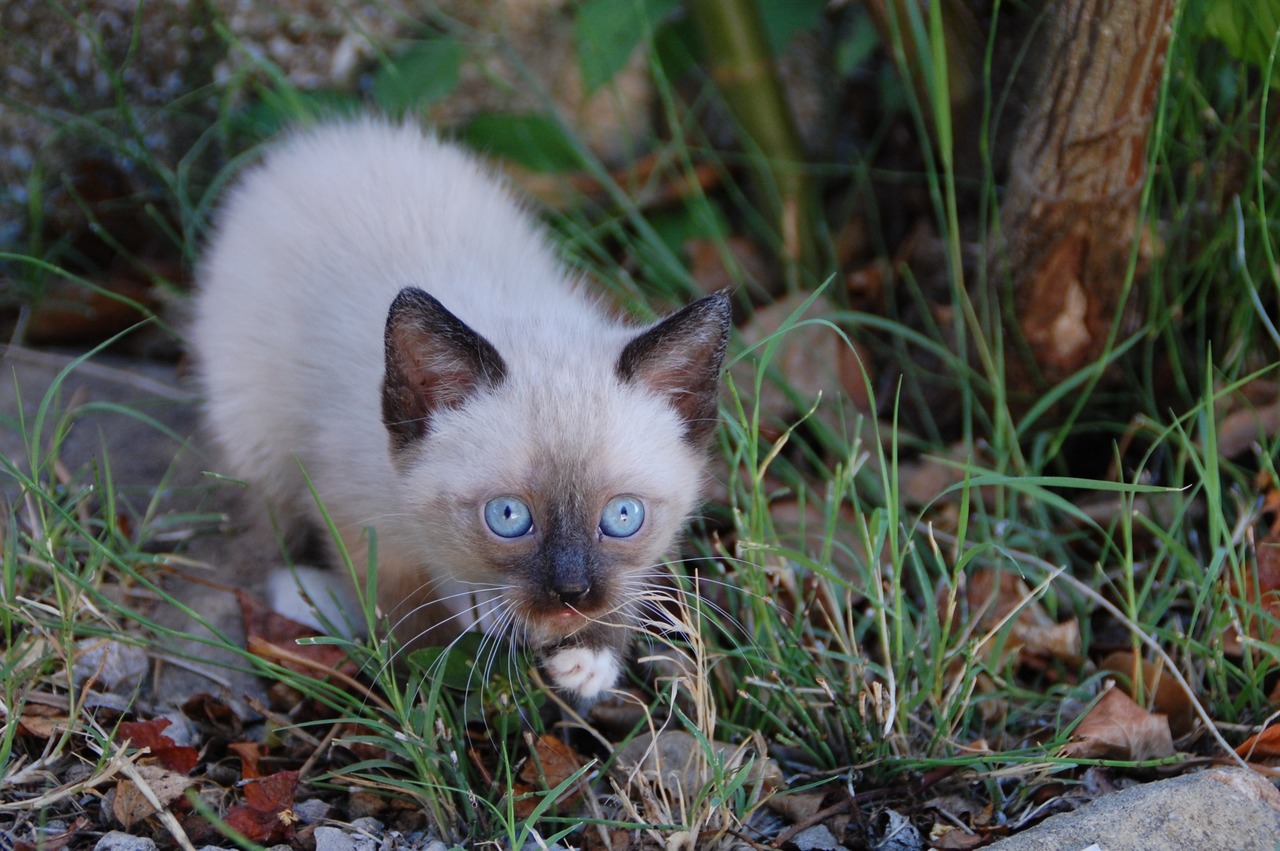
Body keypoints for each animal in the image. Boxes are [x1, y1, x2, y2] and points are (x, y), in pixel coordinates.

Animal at [189, 117, 732, 696]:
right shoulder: (358, 519)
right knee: (265, 531)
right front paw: (443, 684)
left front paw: (588, 660)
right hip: (256, 438)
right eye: (508, 517)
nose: (572, 593)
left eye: (623, 517)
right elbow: (411, 620)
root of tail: (320, 138)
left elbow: (627, 587)